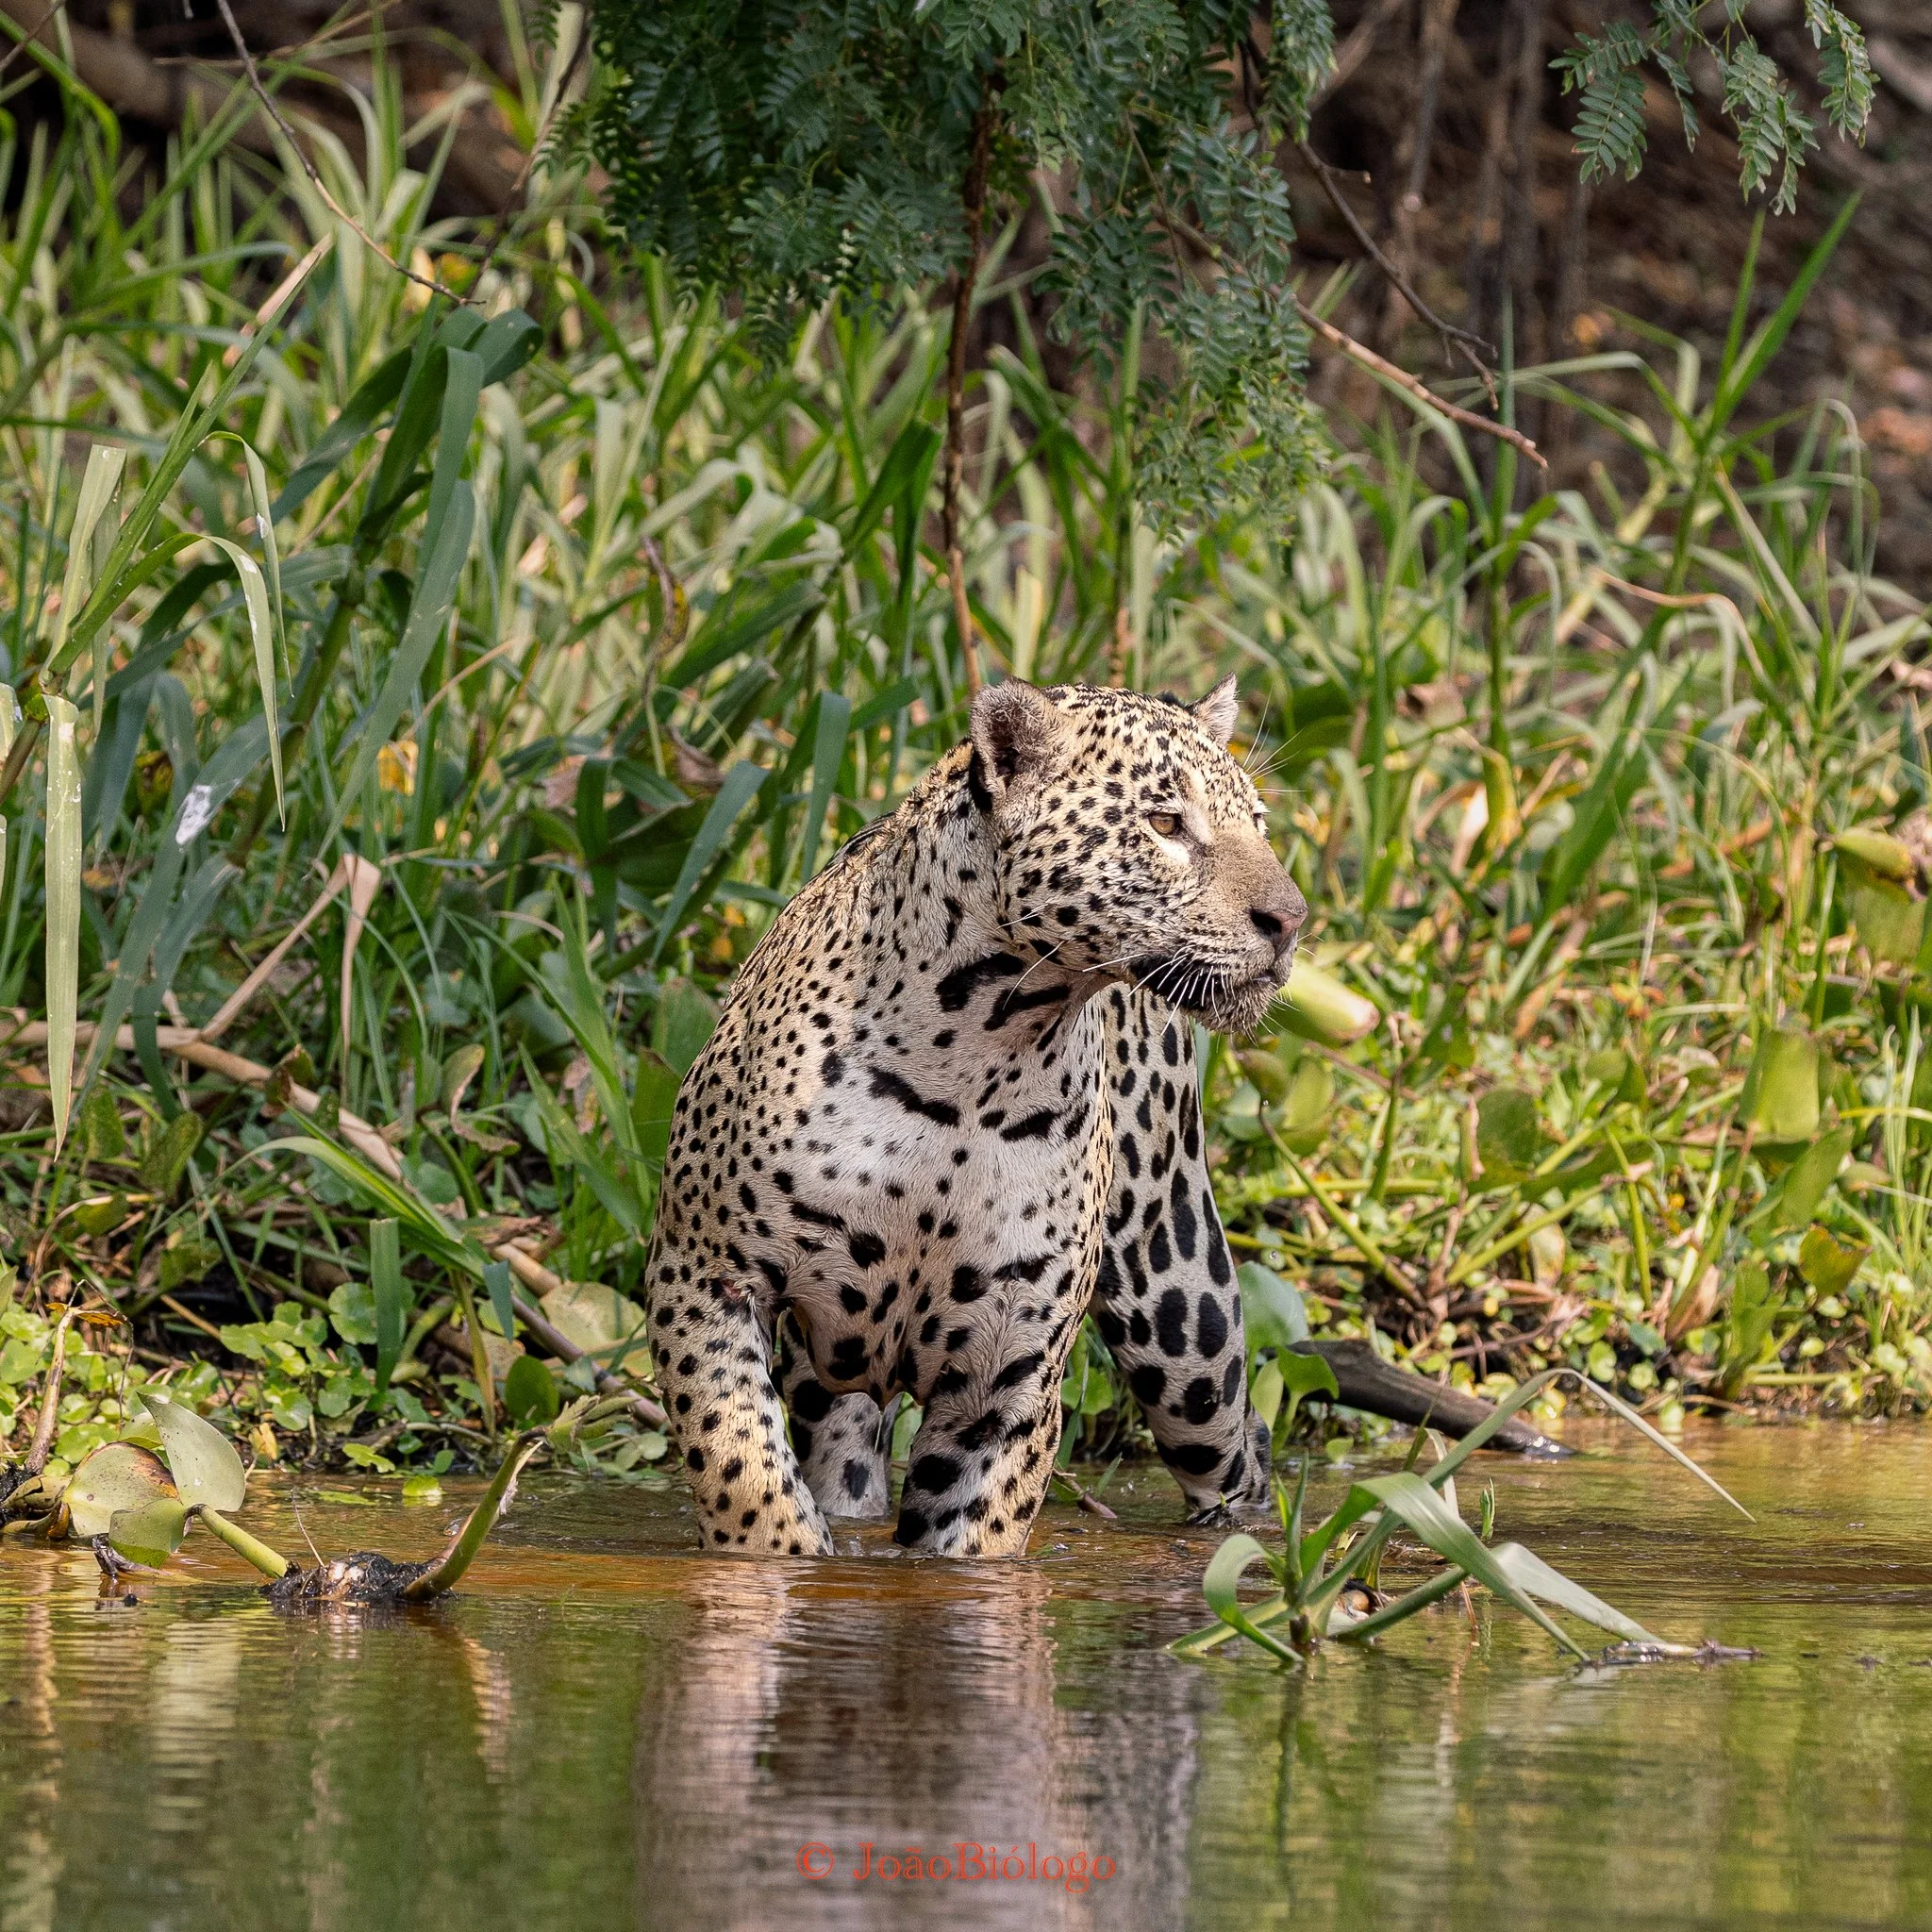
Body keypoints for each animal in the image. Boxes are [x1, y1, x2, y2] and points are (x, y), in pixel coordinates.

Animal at [645, 674, 1307, 1557]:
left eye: (1259, 826)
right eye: (1166, 823)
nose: (1291, 920)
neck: (973, 1058)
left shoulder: (1011, 1367)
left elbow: (976, 1545)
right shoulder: (704, 1277)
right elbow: (743, 1469)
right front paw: (781, 1559)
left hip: (1183, 1322)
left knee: (1243, 1453)